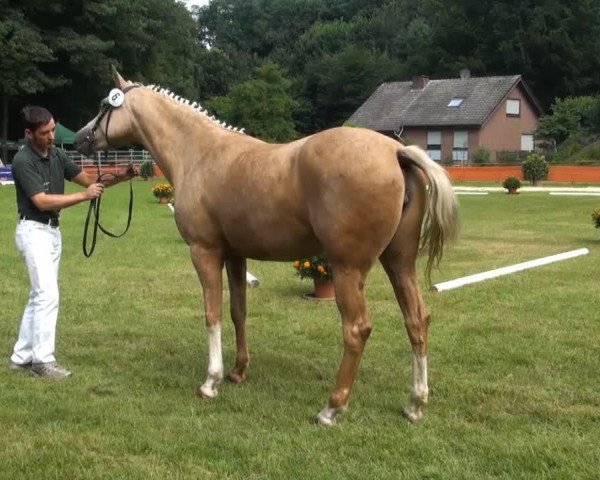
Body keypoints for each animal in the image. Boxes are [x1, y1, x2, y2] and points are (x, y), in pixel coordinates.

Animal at [75, 67, 460, 424]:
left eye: (104, 104)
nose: (80, 138)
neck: (200, 154)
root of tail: (396, 151)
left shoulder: (204, 252)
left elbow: (212, 314)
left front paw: (210, 382)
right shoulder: (235, 255)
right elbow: (237, 312)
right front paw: (238, 371)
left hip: (347, 269)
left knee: (356, 330)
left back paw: (331, 408)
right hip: (400, 262)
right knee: (417, 320)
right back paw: (414, 405)